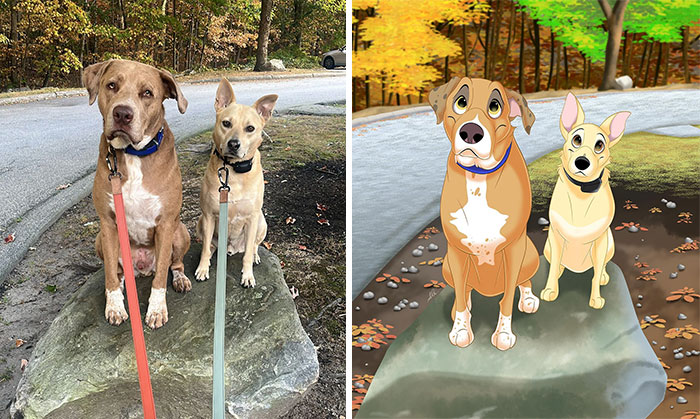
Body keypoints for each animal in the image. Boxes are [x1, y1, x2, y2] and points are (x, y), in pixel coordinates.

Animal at [85, 59, 194, 330]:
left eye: (147, 93)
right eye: (111, 85)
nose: (123, 114)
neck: (133, 154)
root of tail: (142, 268)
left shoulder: (166, 224)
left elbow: (160, 278)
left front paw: (156, 310)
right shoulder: (108, 223)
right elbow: (110, 274)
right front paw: (114, 305)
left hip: (181, 231)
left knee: (174, 263)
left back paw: (180, 278)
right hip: (100, 240)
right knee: (118, 271)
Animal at [196, 79, 278, 288]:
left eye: (250, 128)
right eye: (226, 123)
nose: (234, 144)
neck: (234, 171)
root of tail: (232, 248)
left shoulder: (252, 217)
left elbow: (248, 253)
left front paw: (247, 276)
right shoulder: (209, 216)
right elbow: (205, 248)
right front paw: (202, 268)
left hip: (261, 222)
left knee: (254, 245)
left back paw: (255, 256)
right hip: (200, 222)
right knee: (210, 246)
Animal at [432, 76, 540, 352]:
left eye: (495, 106)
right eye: (461, 101)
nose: (471, 132)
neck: (478, 177)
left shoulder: (513, 250)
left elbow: (508, 299)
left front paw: (503, 334)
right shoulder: (457, 252)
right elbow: (460, 297)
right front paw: (461, 329)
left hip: (530, 254)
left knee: (523, 281)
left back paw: (528, 298)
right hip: (446, 265)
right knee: (465, 289)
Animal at [540, 93, 632, 310]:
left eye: (600, 145)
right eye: (576, 139)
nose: (582, 162)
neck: (581, 191)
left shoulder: (600, 242)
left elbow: (596, 273)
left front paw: (596, 299)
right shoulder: (555, 237)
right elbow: (554, 266)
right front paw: (550, 290)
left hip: (610, 244)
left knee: (602, 267)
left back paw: (604, 276)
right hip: (547, 245)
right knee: (557, 264)